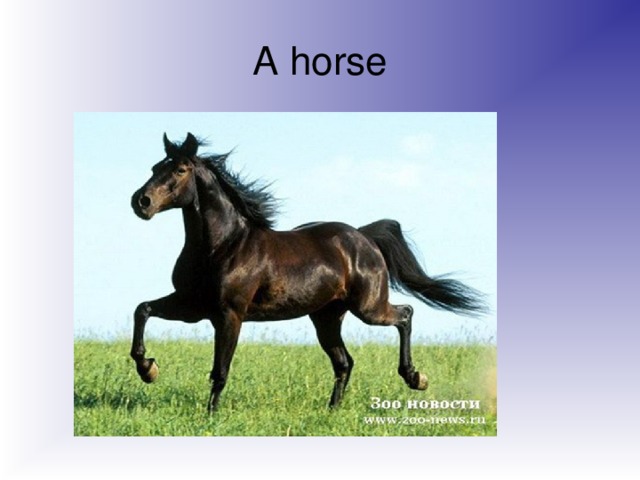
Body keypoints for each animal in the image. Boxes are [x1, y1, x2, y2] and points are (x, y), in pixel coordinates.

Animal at [130, 132, 486, 412]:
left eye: (180, 169)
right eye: (155, 168)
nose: (141, 202)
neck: (223, 246)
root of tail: (364, 237)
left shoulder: (228, 314)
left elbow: (220, 370)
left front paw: (210, 416)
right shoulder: (193, 305)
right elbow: (142, 310)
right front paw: (148, 369)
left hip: (368, 308)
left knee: (405, 314)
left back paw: (415, 378)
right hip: (326, 317)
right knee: (345, 362)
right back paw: (333, 410)